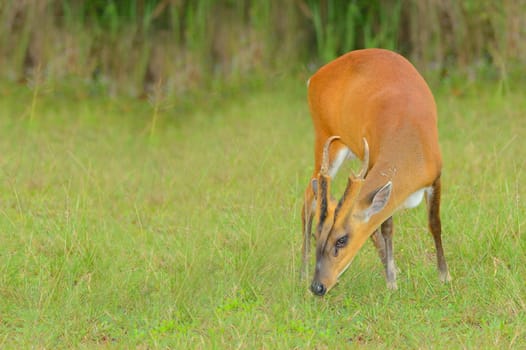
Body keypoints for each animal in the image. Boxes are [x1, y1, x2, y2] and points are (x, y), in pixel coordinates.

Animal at [302, 47, 454, 296]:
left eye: (342, 240)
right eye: (318, 235)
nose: (317, 287)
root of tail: (313, 78)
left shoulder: (435, 177)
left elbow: (434, 223)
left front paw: (444, 276)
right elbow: (387, 227)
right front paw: (391, 281)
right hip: (325, 137)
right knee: (308, 197)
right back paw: (302, 272)